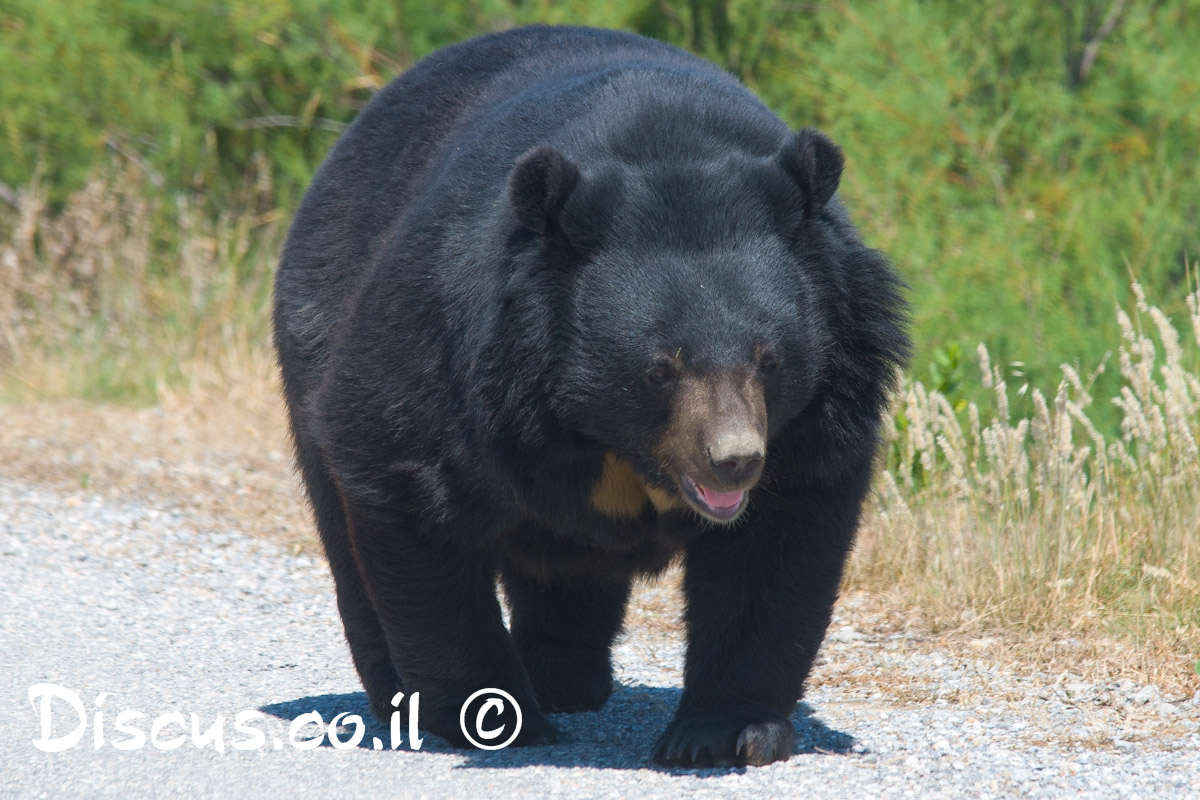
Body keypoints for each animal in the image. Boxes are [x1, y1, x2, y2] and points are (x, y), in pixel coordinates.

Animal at [272, 25, 907, 767]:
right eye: (660, 370)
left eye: (769, 359)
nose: (735, 462)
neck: (608, 440)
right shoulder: (445, 359)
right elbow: (407, 490)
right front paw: (492, 717)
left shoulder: (823, 408)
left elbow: (777, 549)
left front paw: (726, 733)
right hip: (312, 340)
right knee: (351, 536)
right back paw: (404, 693)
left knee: (568, 568)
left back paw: (568, 680)